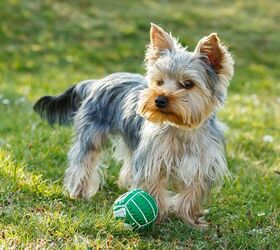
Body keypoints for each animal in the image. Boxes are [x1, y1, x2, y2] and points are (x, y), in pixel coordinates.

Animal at [34, 24, 234, 228]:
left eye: (188, 84)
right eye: (159, 82)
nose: (159, 99)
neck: (180, 128)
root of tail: (96, 82)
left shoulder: (201, 163)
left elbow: (192, 193)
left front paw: (191, 220)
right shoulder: (152, 159)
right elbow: (153, 187)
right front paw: (157, 218)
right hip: (91, 133)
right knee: (84, 159)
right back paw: (79, 192)